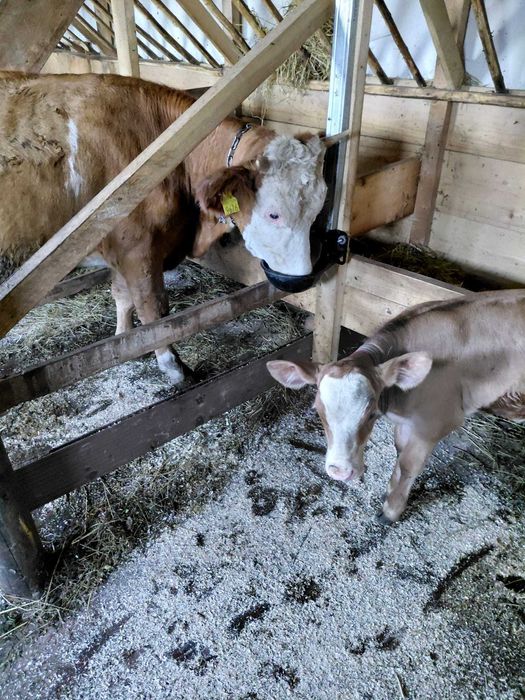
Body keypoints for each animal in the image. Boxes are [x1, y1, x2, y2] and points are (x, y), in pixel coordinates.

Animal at [0, 71, 329, 382]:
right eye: (274, 214)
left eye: (317, 209)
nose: (303, 279)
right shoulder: (138, 247)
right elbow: (154, 310)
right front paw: (172, 365)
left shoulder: (121, 249)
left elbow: (123, 296)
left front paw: (125, 341)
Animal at [267, 290, 525, 523]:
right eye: (318, 411)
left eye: (371, 414)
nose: (340, 471)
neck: (400, 403)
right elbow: (399, 453)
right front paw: (390, 492)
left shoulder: (434, 423)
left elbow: (409, 465)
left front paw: (391, 511)